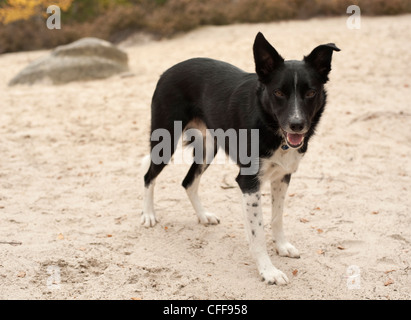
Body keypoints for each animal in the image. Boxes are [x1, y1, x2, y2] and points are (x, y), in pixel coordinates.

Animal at [142, 31, 342, 282]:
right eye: (278, 93)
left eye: (311, 93)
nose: (296, 125)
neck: (268, 123)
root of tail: (168, 70)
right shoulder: (248, 182)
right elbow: (257, 233)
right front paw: (268, 271)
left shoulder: (282, 176)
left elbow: (277, 218)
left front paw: (282, 246)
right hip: (165, 142)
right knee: (148, 176)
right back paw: (149, 215)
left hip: (209, 148)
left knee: (188, 181)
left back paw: (203, 216)